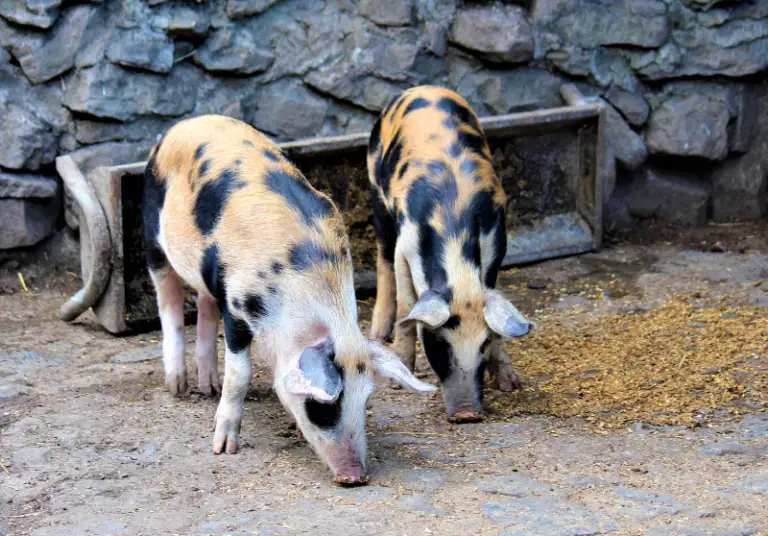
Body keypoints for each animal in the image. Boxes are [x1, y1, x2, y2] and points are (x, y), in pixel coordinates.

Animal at [142, 115, 435, 485]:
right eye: (323, 407)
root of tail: (184, 125)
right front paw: (224, 449)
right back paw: (177, 386)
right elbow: (240, 374)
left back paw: (207, 386)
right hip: (153, 237)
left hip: (204, 275)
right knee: (168, 303)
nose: (354, 477)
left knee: (205, 305)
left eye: (366, 401)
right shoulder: (235, 307)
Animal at [366, 86, 532, 423]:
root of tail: (422, 88)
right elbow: (407, 307)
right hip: (377, 190)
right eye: (439, 343)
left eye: (483, 344)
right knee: (383, 261)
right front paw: (396, 383)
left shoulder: (496, 245)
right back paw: (377, 336)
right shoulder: (406, 245)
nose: (467, 414)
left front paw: (510, 384)